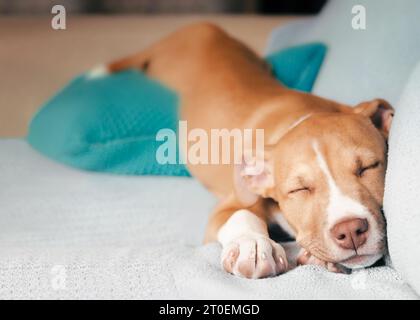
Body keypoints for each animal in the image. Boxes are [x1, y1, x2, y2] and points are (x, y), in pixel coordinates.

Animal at [94, 21, 394, 278]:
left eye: (369, 167)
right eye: (299, 189)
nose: (351, 230)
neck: (300, 117)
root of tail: (200, 26)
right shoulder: (227, 206)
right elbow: (241, 214)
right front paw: (253, 245)